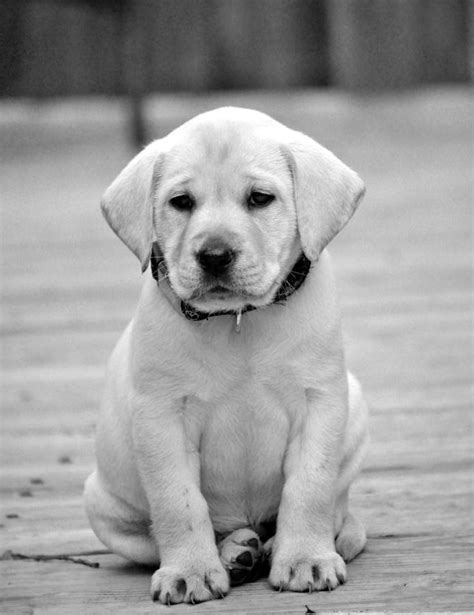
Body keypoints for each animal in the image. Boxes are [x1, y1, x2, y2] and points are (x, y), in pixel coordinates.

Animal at [83, 107, 368, 608]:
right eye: (180, 202)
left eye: (260, 199)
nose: (214, 255)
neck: (238, 320)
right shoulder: (162, 417)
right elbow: (178, 501)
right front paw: (190, 572)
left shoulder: (321, 403)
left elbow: (309, 489)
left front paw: (307, 559)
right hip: (104, 505)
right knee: (156, 535)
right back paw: (236, 551)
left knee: (336, 511)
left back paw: (279, 546)